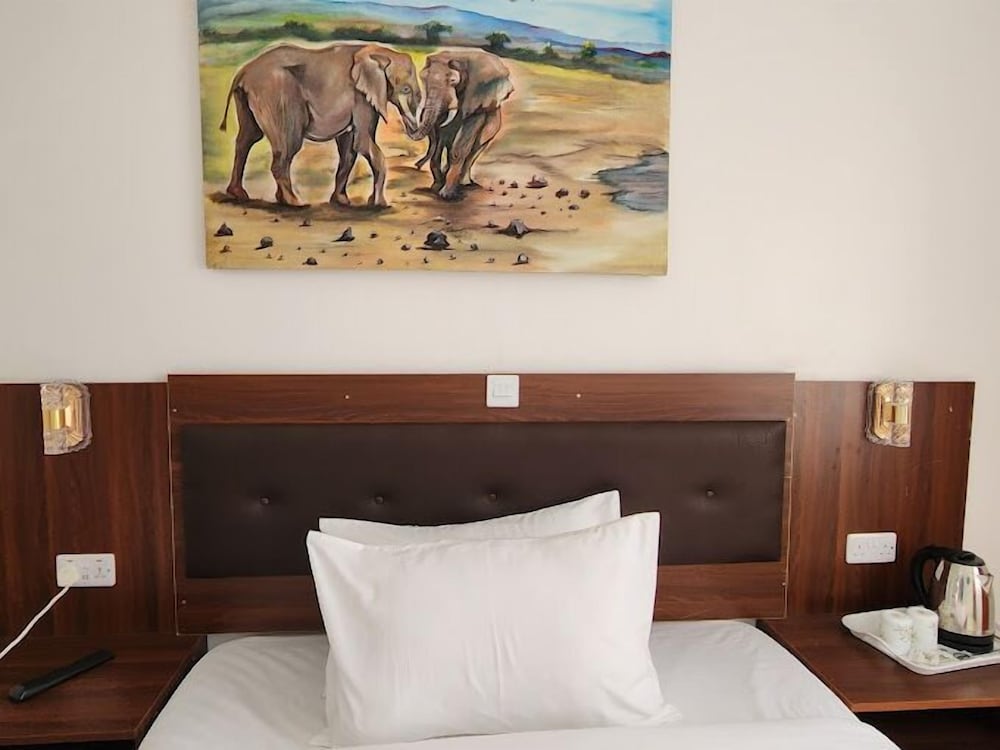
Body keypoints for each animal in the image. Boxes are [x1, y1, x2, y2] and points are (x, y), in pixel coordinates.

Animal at [219, 43, 422, 208]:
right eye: (405, 89)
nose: (413, 128)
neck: (382, 53)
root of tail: (242, 72)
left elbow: (349, 148)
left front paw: (342, 202)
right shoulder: (361, 97)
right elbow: (362, 142)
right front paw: (380, 205)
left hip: (250, 98)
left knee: (247, 139)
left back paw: (239, 195)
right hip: (277, 96)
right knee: (288, 145)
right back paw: (295, 203)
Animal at [407, 49, 514, 201]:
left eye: (453, 81)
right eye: (423, 78)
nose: (417, 165)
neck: (457, 58)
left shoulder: (477, 98)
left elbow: (461, 143)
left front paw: (446, 195)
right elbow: (440, 136)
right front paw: (436, 186)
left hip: (492, 129)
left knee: (475, 149)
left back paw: (465, 183)